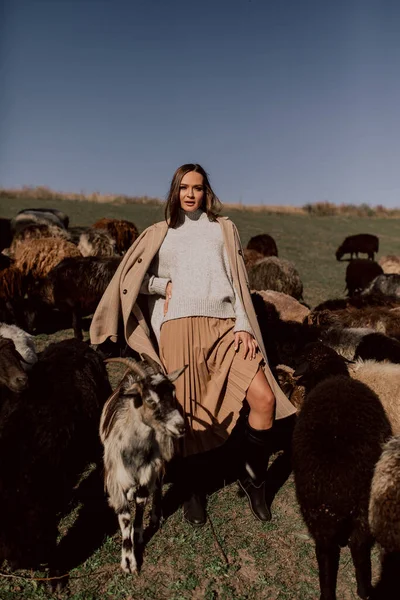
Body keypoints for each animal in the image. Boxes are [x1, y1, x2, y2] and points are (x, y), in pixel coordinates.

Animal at [101, 354, 187, 576]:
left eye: (174, 393)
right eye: (150, 400)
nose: (181, 426)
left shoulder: (147, 472)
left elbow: (140, 505)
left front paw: (138, 534)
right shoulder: (115, 480)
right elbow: (124, 517)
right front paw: (128, 561)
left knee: (157, 487)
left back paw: (157, 514)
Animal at [292, 342, 392, 600]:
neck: (330, 375)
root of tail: (342, 489)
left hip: (318, 511)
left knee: (326, 552)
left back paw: (327, 593)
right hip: (363, 509)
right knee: (359, 548)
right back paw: (365, 590)